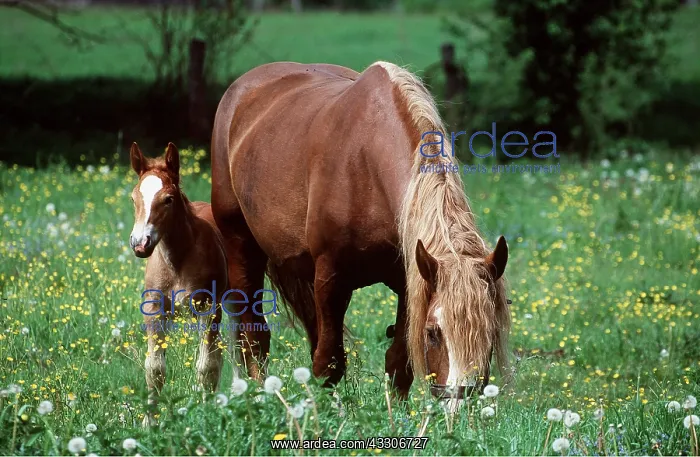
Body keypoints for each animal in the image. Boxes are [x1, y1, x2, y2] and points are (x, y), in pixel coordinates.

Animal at [128, 142, 242, 426]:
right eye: (134, 198)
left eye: (168, 199)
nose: (140, 244)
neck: (177, 261)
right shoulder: (154, 311)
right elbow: (154, 369)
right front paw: (149, 423)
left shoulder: (208, 309)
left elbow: (206, 366)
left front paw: (205, 416)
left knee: (235, 344)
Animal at [210, 61, 511, 401]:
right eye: (433, 333)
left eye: (492, 331)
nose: (462, 401)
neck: (366, 165)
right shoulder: (331, 277)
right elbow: (327, 364)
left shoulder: (409, 281)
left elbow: (398, 364)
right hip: (242, 247)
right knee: (253, 336)